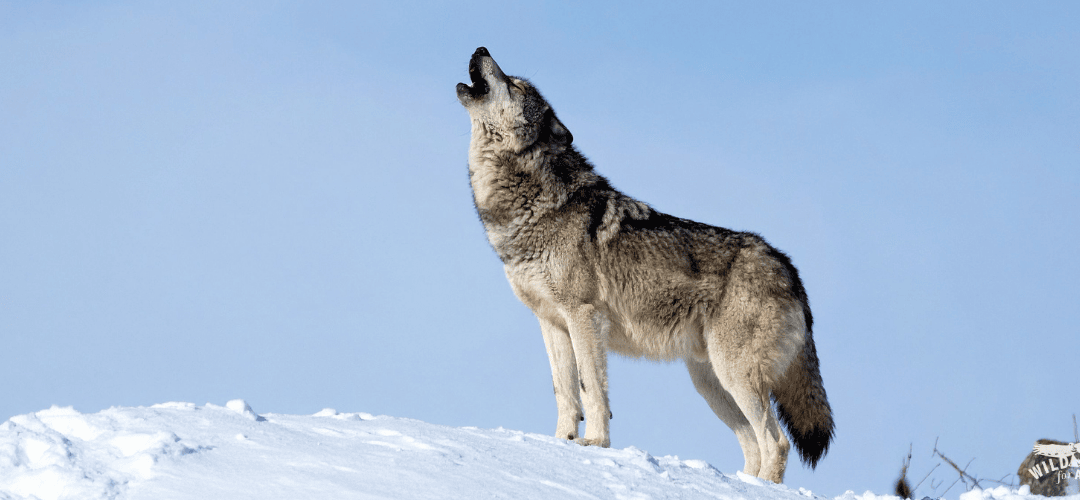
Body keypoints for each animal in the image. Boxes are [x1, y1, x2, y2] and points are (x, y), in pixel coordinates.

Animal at [456, 47, 833, 483]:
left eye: (516, 85)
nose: (481, 49)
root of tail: (788, 268)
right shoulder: (551, 322)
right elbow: (564, 392)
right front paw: (560, 442)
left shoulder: (583, 316)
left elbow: (591, 389)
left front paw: (594, 444)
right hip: (711, 383)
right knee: (754, 444)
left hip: (735, 374)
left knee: (777, 442)